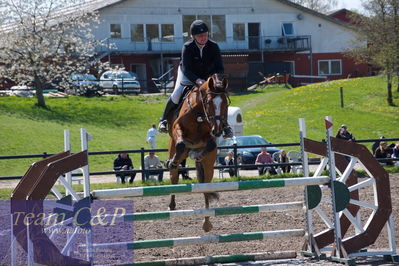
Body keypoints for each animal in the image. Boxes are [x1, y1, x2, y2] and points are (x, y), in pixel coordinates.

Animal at [166, 74, 230, 232]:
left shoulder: (210, 136)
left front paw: (198, 155)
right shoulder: (177, 128)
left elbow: (211, 144)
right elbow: (181, 143)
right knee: (174, 175)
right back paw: (172, 204)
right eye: (208, 102)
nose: (218, 130)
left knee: (205, 188)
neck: (200, 115)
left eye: (225, 103)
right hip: (173, 149)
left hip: (209, 168)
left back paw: (206, 223)